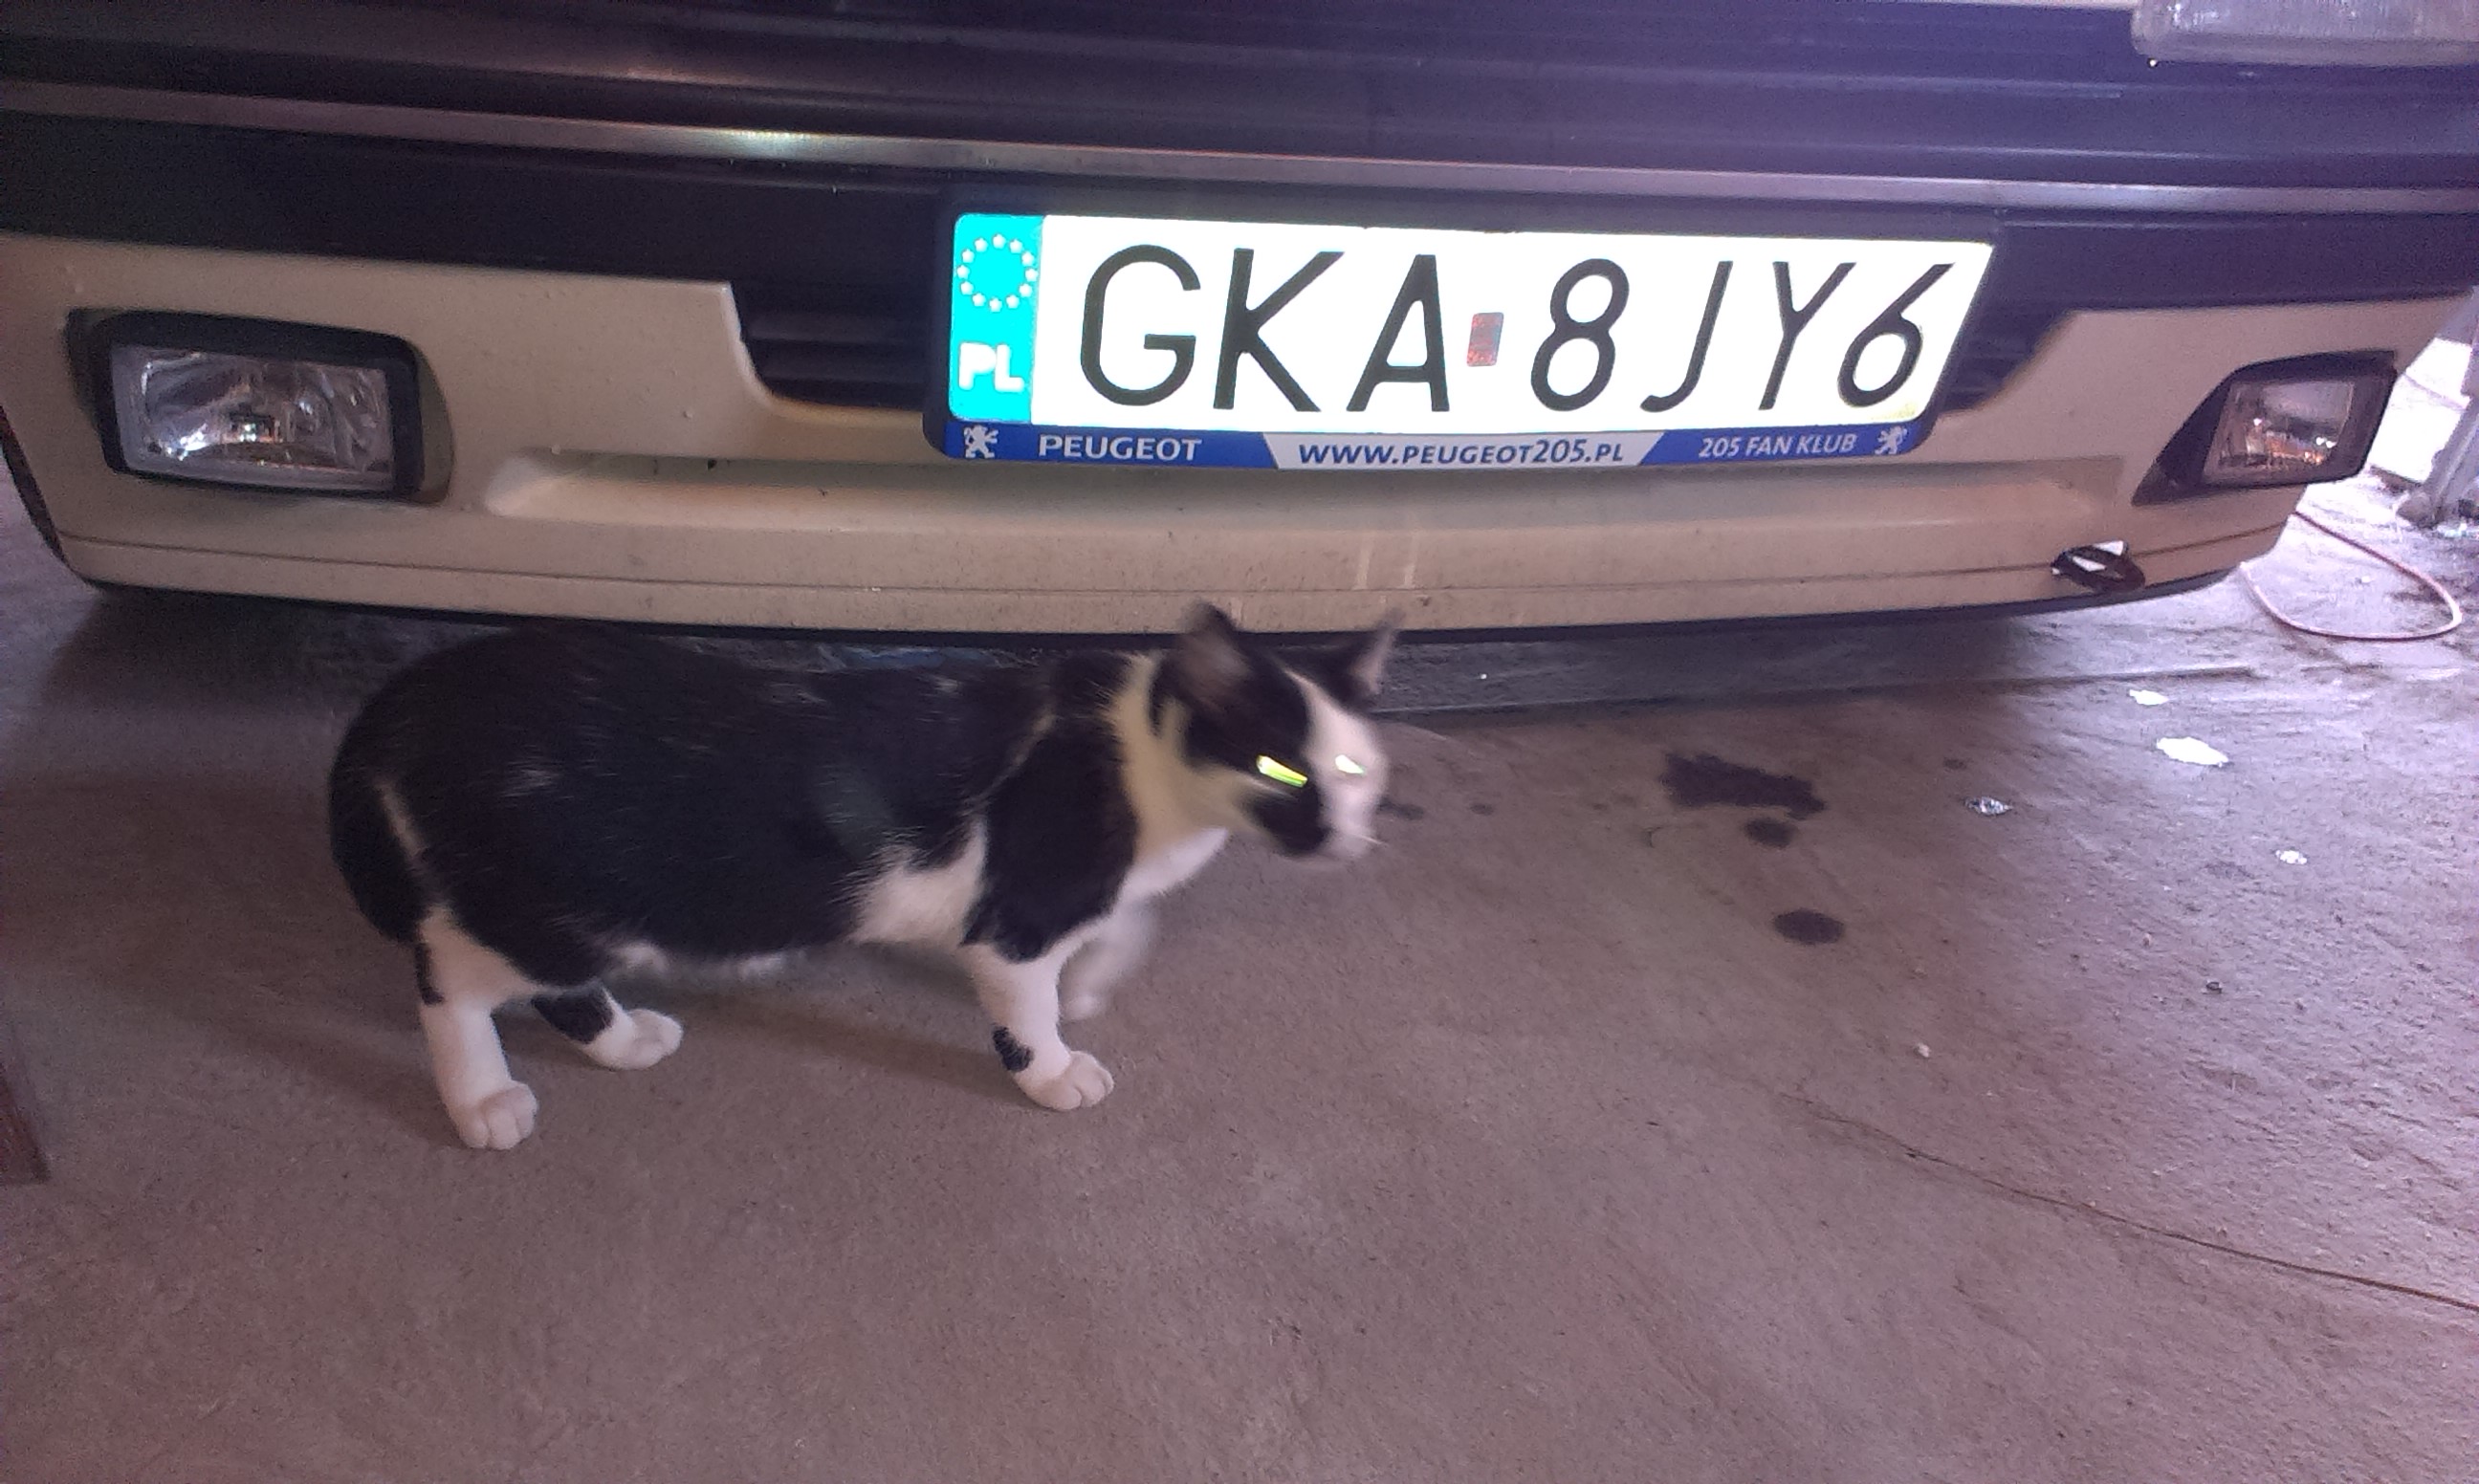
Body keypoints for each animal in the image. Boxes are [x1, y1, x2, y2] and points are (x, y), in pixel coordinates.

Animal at [328, 605, 1397, 1149]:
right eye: (1283, 770)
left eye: (1359, 770)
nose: (1347, 835)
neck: (1140, 763)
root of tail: (409, 694)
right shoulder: (1016, 918)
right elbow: (1027, 1000)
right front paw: (1054, 1065)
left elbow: (1123, 925)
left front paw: (1096, 976)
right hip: (558, 899)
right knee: (447, 978)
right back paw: (483, 1099)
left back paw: (625, 1041)